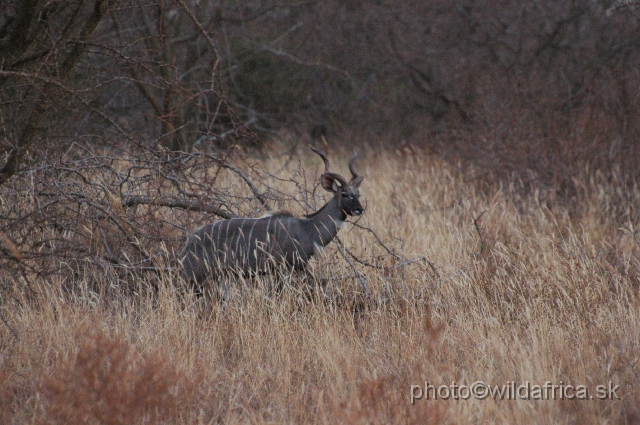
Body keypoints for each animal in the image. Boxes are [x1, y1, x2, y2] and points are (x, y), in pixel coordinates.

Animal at [180, 147, 364, 288]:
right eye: (345, 194)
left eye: (358, 194)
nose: (359, 210)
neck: (307, 229)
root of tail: (189, 243)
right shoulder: (282, 269)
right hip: (196, 276)